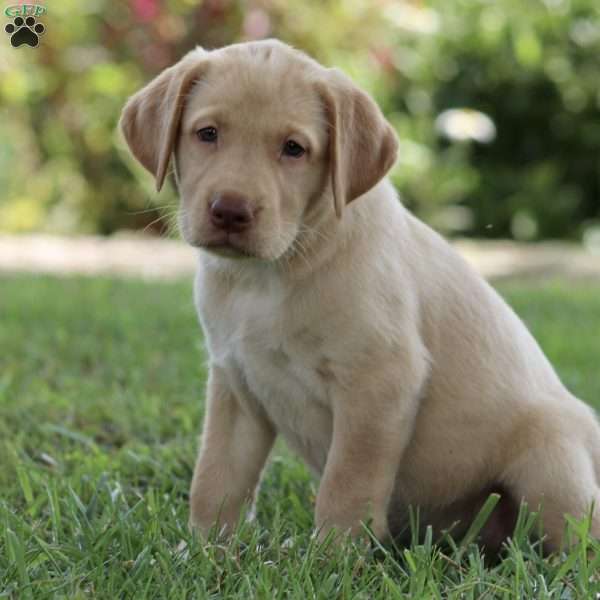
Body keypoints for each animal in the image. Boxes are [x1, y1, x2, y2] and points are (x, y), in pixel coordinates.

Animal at [118, 38, 600, 552]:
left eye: (294, 149)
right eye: (207, 133)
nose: (230, 210)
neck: (266, 276)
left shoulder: (378, 383)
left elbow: (346, 483)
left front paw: (332, 557)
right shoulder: (236, 384)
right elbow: (215, 477)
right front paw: (205, 549)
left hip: (550, 464)